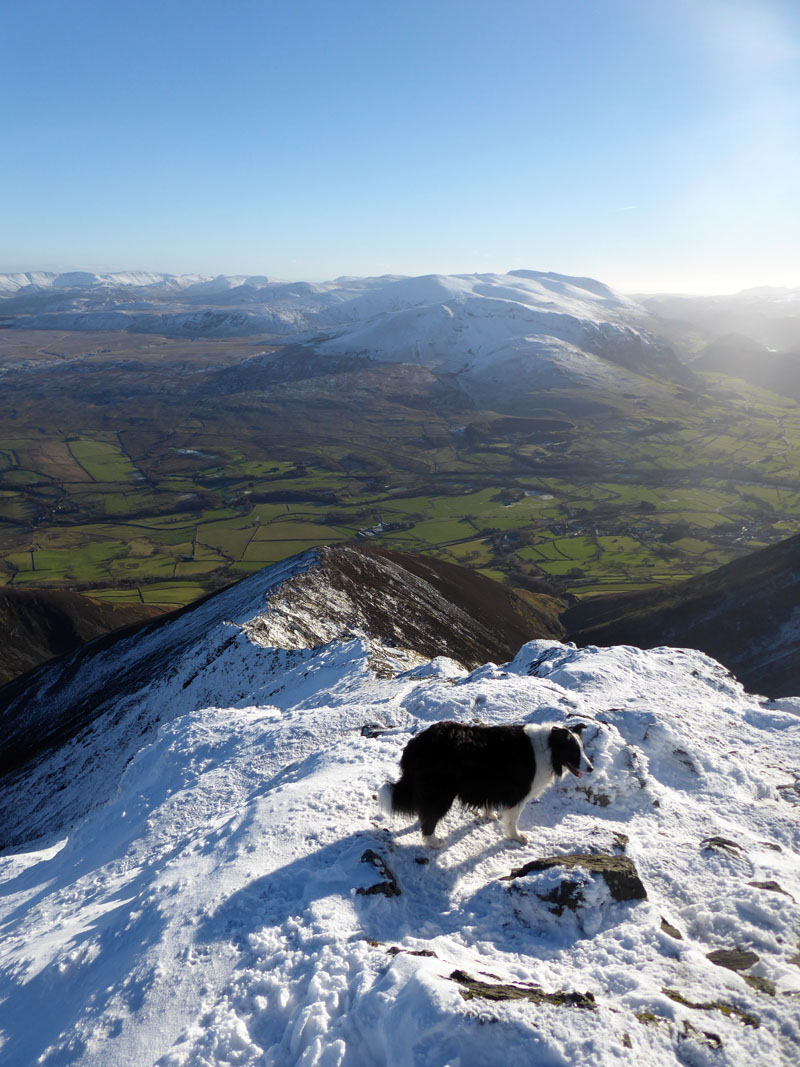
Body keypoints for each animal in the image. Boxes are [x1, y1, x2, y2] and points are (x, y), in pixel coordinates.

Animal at [379, 721, 593, 845]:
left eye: (582, 748)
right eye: (574, 751)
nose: (591, 768)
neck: (547, 747)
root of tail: (417, 743)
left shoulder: (491, 786)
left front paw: (489, 815)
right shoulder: (518, 795)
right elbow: (513, 820)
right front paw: (517, 837)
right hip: (441, 791)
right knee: (430, 820)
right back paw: (434, 841)